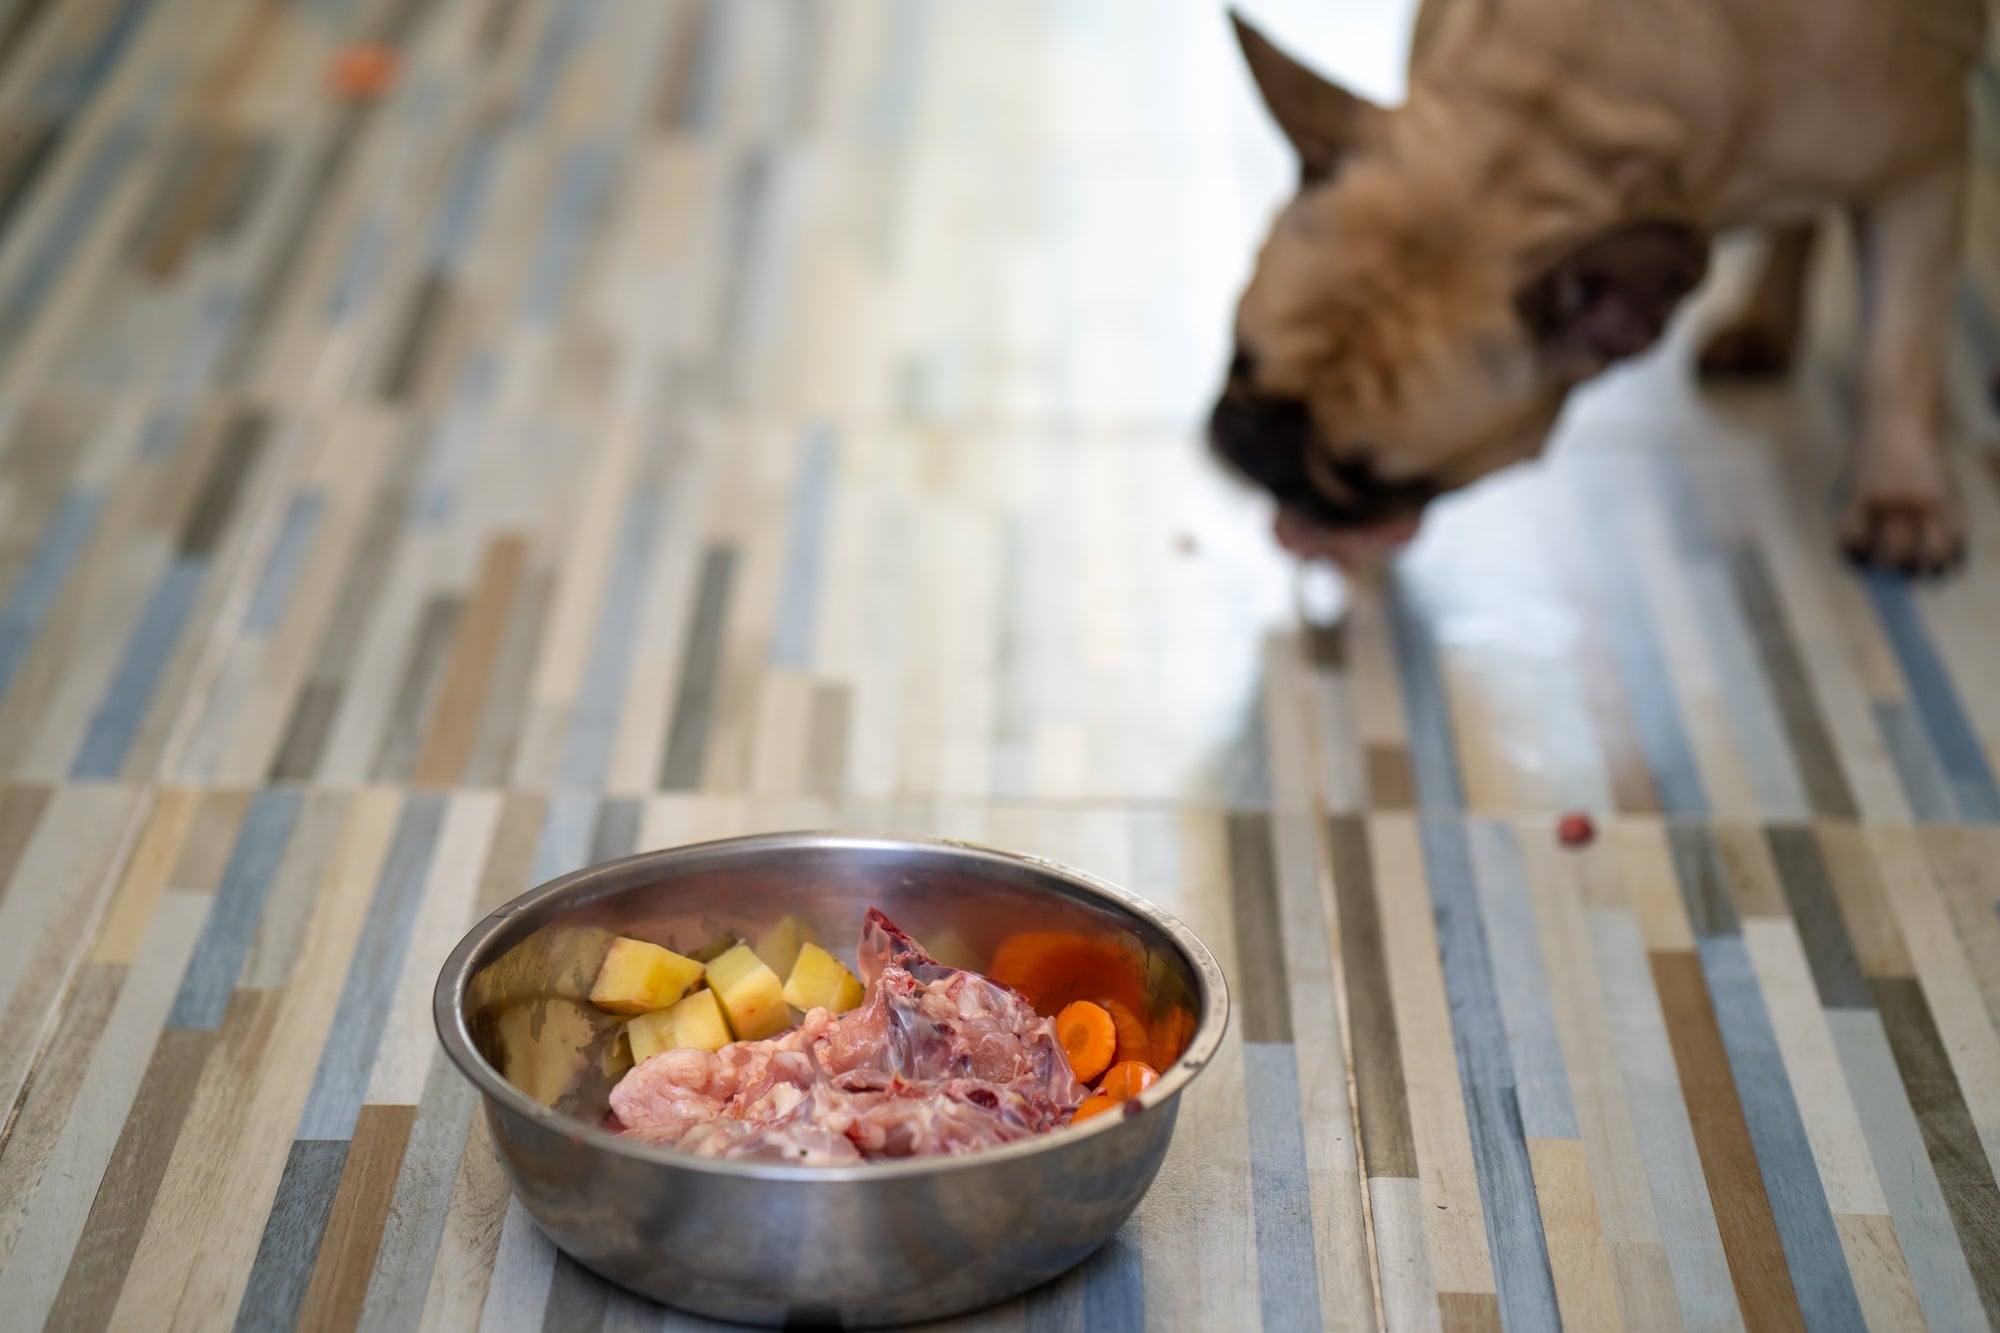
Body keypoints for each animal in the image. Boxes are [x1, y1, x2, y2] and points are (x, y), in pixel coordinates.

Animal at [1216, 0, 1984, 568]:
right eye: (1237, 360)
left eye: (1374, 480)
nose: (1253, 449)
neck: (1557, 107)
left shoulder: (1924, 165)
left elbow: (1900, 347)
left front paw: (1902, 495)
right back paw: (1764, 323)